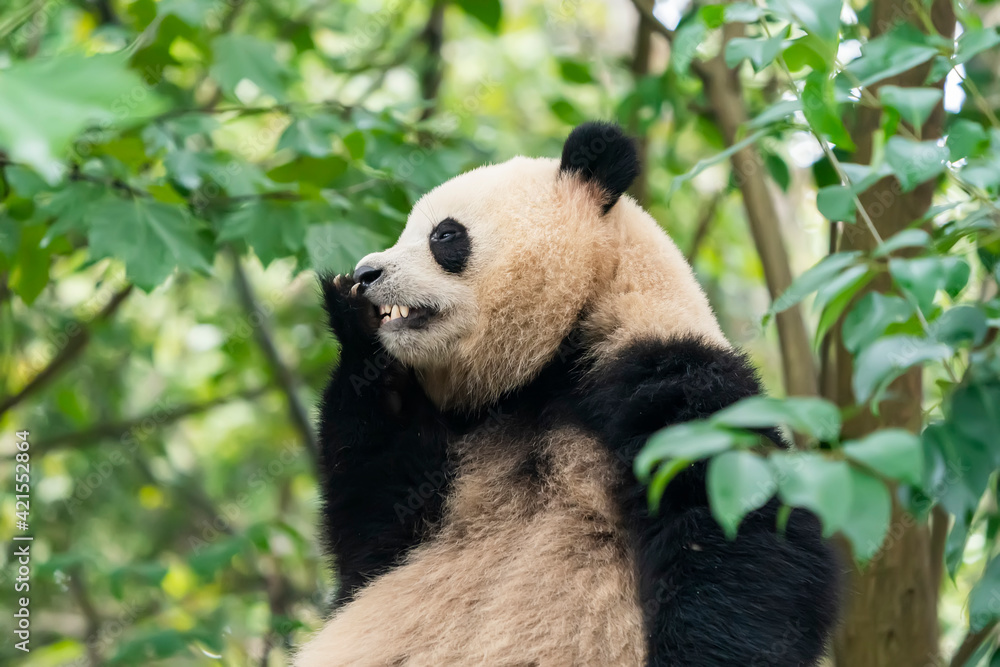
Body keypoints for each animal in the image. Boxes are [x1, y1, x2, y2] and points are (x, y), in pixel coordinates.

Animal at [297, 122, 840, 666]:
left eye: (444, 234)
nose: (367, 274)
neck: (547, 364)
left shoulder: (667, 373)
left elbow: (741, 530)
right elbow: (376, 536)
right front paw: (353, 320)